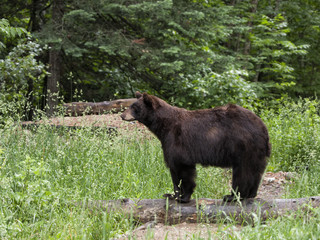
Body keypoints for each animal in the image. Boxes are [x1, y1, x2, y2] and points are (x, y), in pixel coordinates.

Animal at [121, 92, 272, 202]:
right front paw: (172, 195)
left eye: (134, 108)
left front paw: (183, 197)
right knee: (256, 172)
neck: (163, 126)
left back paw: (233, 196)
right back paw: (250, 194)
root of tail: (263, 128)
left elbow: (182, 168)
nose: (122, 115)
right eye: (131, 105)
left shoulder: (177, 141)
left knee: (243, 172)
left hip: (243, 147)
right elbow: (173, 172)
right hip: (256, 153)